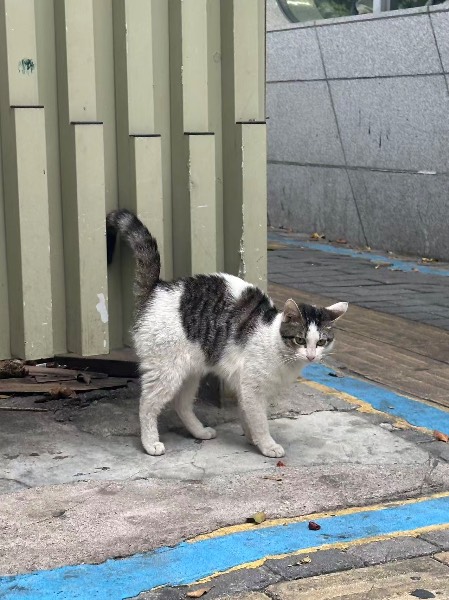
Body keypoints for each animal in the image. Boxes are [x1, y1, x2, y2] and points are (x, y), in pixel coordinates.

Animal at [106, 209, 347, 458]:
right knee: (147, 404)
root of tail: (158, 289)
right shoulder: (252, 389)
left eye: (321, 342)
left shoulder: (244, 388)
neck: (274, 340)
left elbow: (247, 417)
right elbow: (259, 420)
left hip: (191, 370)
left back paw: (199, 431)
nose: (311, 356)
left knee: (181, 404)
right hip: (166, 371)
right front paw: (267, 445)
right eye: (300, 340)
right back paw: (150, 443)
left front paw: (252, 439)